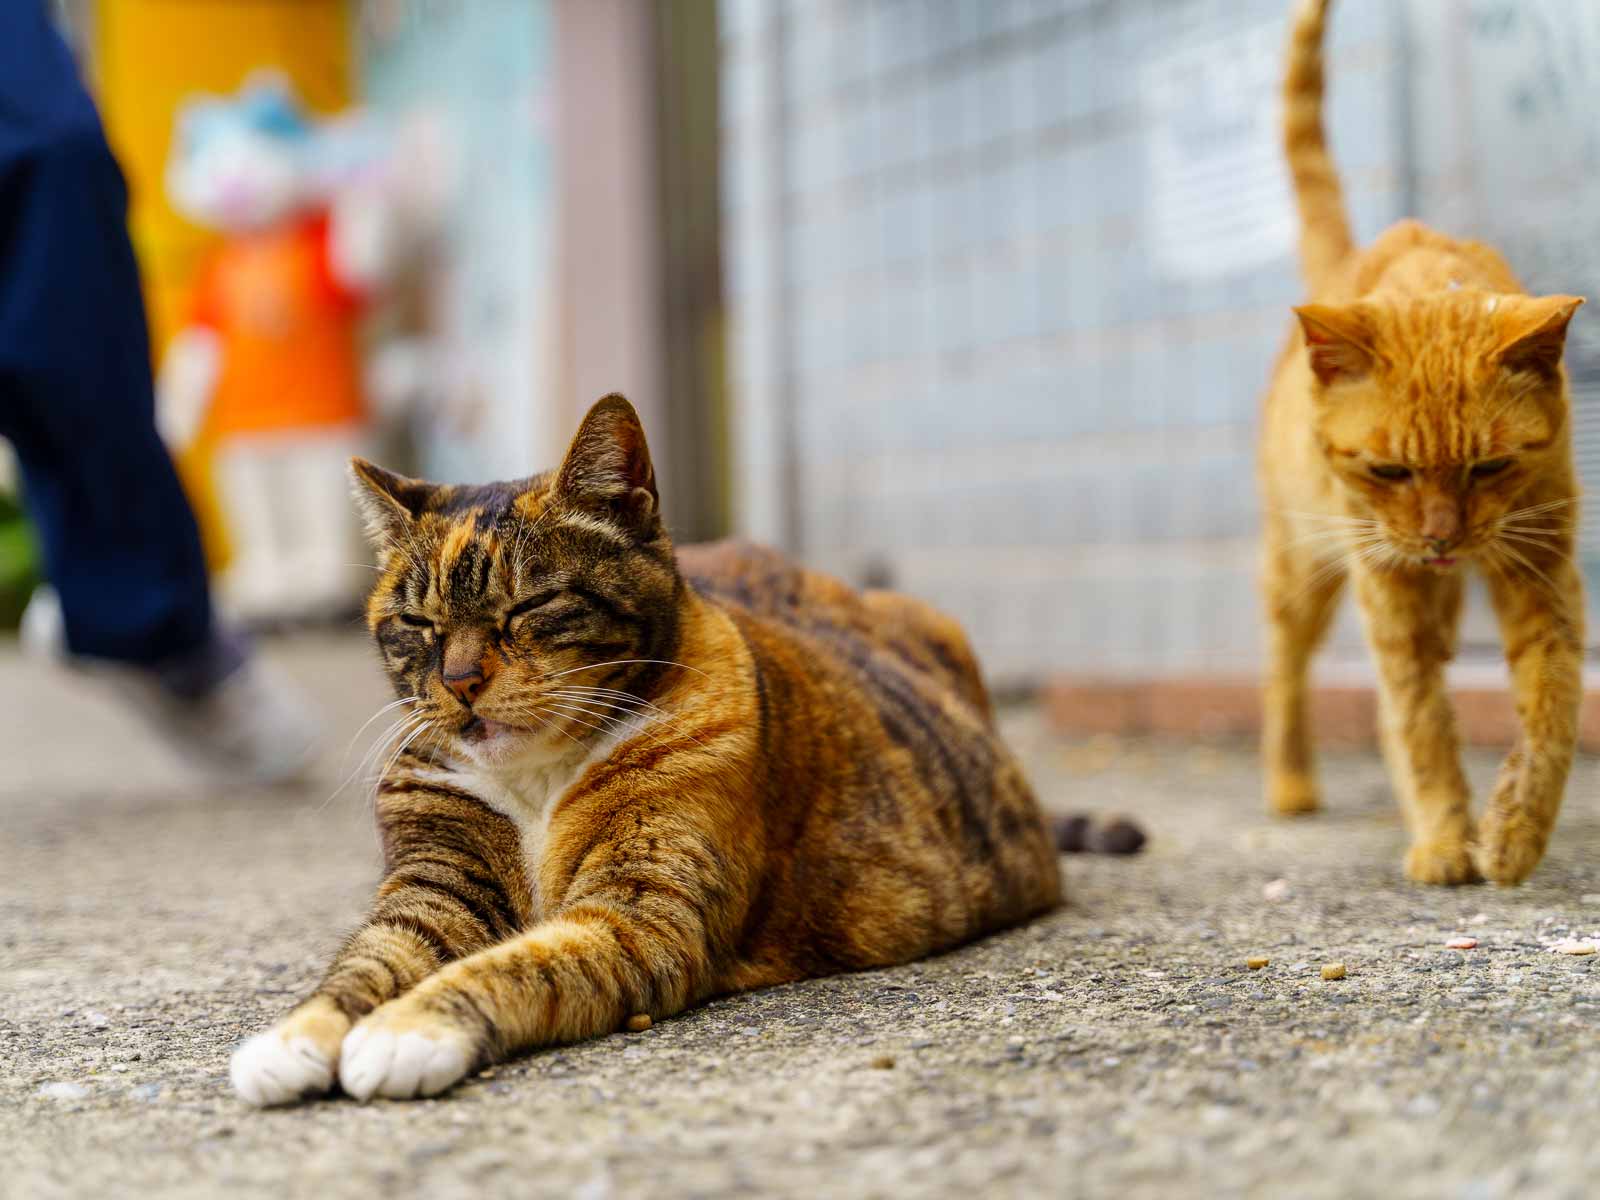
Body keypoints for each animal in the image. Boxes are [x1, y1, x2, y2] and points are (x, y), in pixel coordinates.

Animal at [232, 396, 1068, 1107]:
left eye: (530, 606)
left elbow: (520, 963)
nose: (460, 680)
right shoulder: (437, 887)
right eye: (417, 623)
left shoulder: (641, 913)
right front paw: (293, 1038)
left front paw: (408, 1029)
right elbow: (371, 958)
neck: (536, 777)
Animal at [1260, 0, 1587, 883]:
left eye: (1490, 465)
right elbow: (1422, 724)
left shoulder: (1542, 572)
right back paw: (1291, 784)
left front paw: (1515, 830)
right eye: (1390, 470)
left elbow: (1551, 708)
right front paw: (1444, 836)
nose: (1442, 537)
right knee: (1289, 671)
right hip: (1304, 567)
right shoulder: (1389, 589)